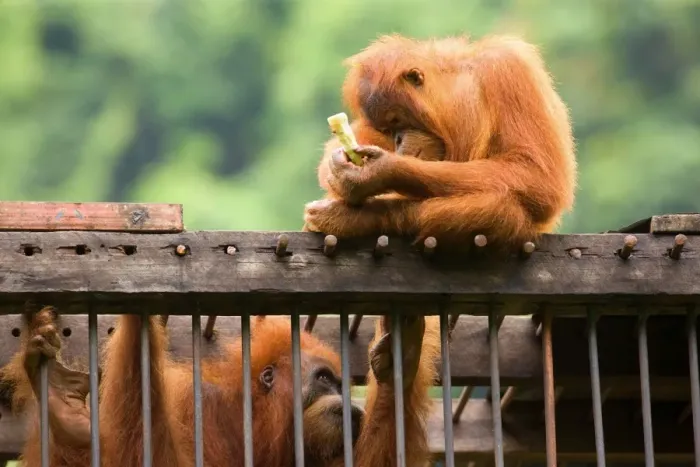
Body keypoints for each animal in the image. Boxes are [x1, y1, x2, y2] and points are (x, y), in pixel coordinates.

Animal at [10, 307, 440, 466]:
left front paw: (401, 359)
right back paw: (63, 408)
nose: (342, 397)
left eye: (339, 382)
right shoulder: (197, 404)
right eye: (323, 379)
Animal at [304, 34, 577, 252]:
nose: (398, 140)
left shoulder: (508, 69)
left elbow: (537, 176)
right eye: (387, 130)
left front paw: (377, 173)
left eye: (397, 120)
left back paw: (361, 217)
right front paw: (339, 168)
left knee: (498, 207)